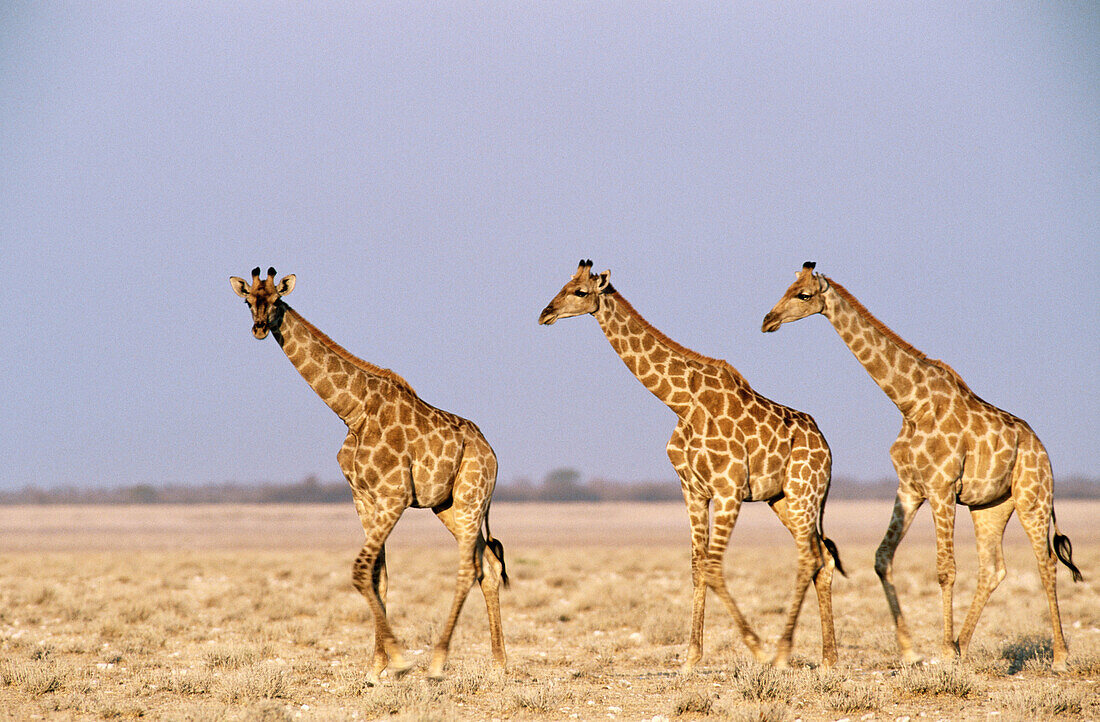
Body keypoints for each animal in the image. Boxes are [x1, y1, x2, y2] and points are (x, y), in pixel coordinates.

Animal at [234, 267, 508, 686]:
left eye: (277, 300)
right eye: (249, 301)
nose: (260, 327)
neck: (352, 410)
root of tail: (491, 451)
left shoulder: (394, 496)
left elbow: (360, 571)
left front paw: (399, 660)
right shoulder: (364, 499)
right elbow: (378, 576)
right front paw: (376, 668)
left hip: (470, 499)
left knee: (468, 569)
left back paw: (439, 661)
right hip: (448, 507)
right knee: (489, 569)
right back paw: (499, 665)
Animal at [539, 259, 840, 669]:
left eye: (580, 292)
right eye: (562, 285)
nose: (545, 313)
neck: (681, 402)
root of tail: (827, 446)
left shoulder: (729, 489)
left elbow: (713, 566)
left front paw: (756, 647)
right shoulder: (693, 490)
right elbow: (698, 567)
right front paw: (692, 656)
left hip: (804, 493)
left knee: (812, 558)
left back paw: (796, 653)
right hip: (782, 499)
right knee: (821, 557)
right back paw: (829, 657)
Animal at [761, 260, 1078, 669]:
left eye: (803, 294)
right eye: (786, 288)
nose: (768, 320)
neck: (911, 403)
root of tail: (1042, 449)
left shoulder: (942, 488)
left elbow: (945, 570)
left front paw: (941, 650)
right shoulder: (911, 488)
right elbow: (882, 559)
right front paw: (913, 649)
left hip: (1032, 497)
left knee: (1046, 564)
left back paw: (1059, 656)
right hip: (990, 505)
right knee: (993, 568)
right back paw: (963, 646)